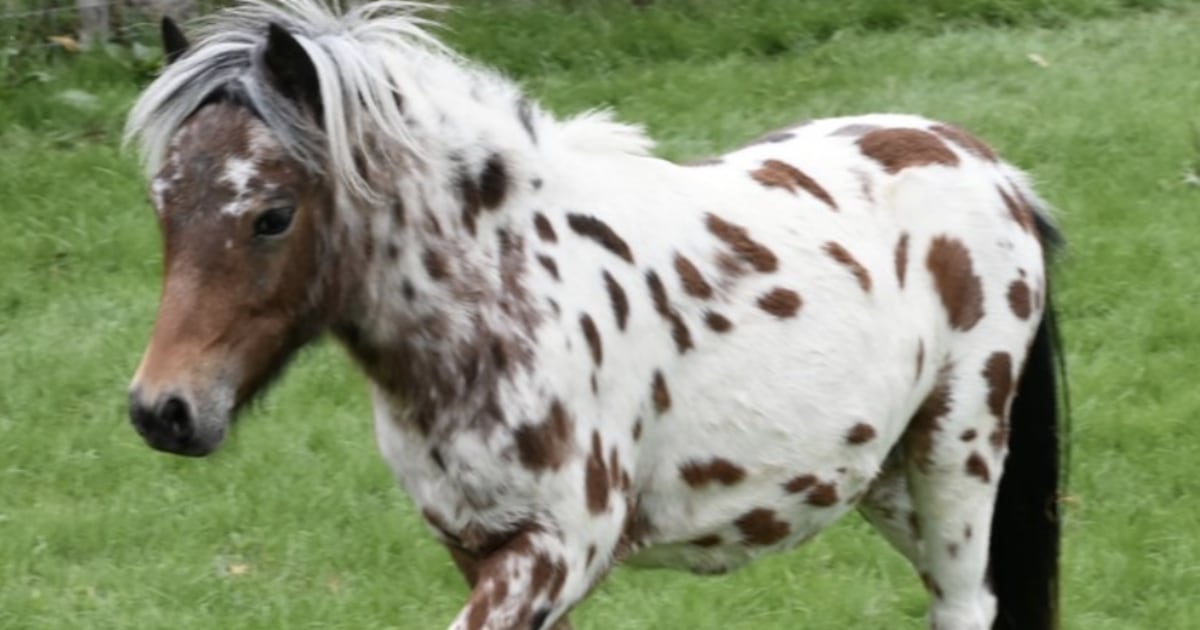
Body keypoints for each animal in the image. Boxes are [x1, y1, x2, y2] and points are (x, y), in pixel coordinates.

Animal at [124, 2, 1065, 629]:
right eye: (162, 205)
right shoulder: (482, 547)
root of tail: (992, 168)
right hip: (879, 478)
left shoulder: (560, 548)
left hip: (957, 454)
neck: (501, 301)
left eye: (271, 215)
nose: (163, 411)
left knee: (965, 603)